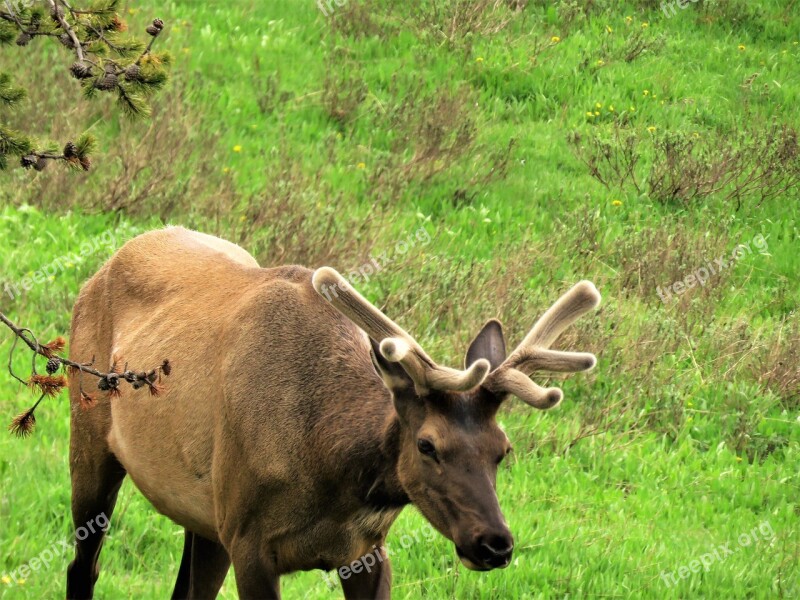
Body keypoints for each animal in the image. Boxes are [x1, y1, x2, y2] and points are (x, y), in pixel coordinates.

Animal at [65, 227, 600, 596]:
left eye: (502, 450)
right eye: (427, 445)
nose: (494, 543)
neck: (330, 470)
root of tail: (106, 264)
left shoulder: (367, 549)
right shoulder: (250, 541)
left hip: (206, 513)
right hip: (89, 436)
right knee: (82, 566)